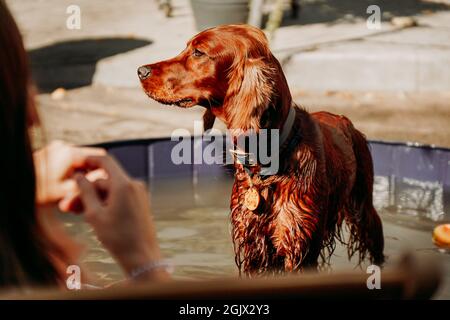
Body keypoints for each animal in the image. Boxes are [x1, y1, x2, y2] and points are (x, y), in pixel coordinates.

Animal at [139, 24, 384, 276]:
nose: (140, 71)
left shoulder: (299, 249)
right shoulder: (253, 247)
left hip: (364, 211)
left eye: (198, 52)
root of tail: (343, 119)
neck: (267, 161)